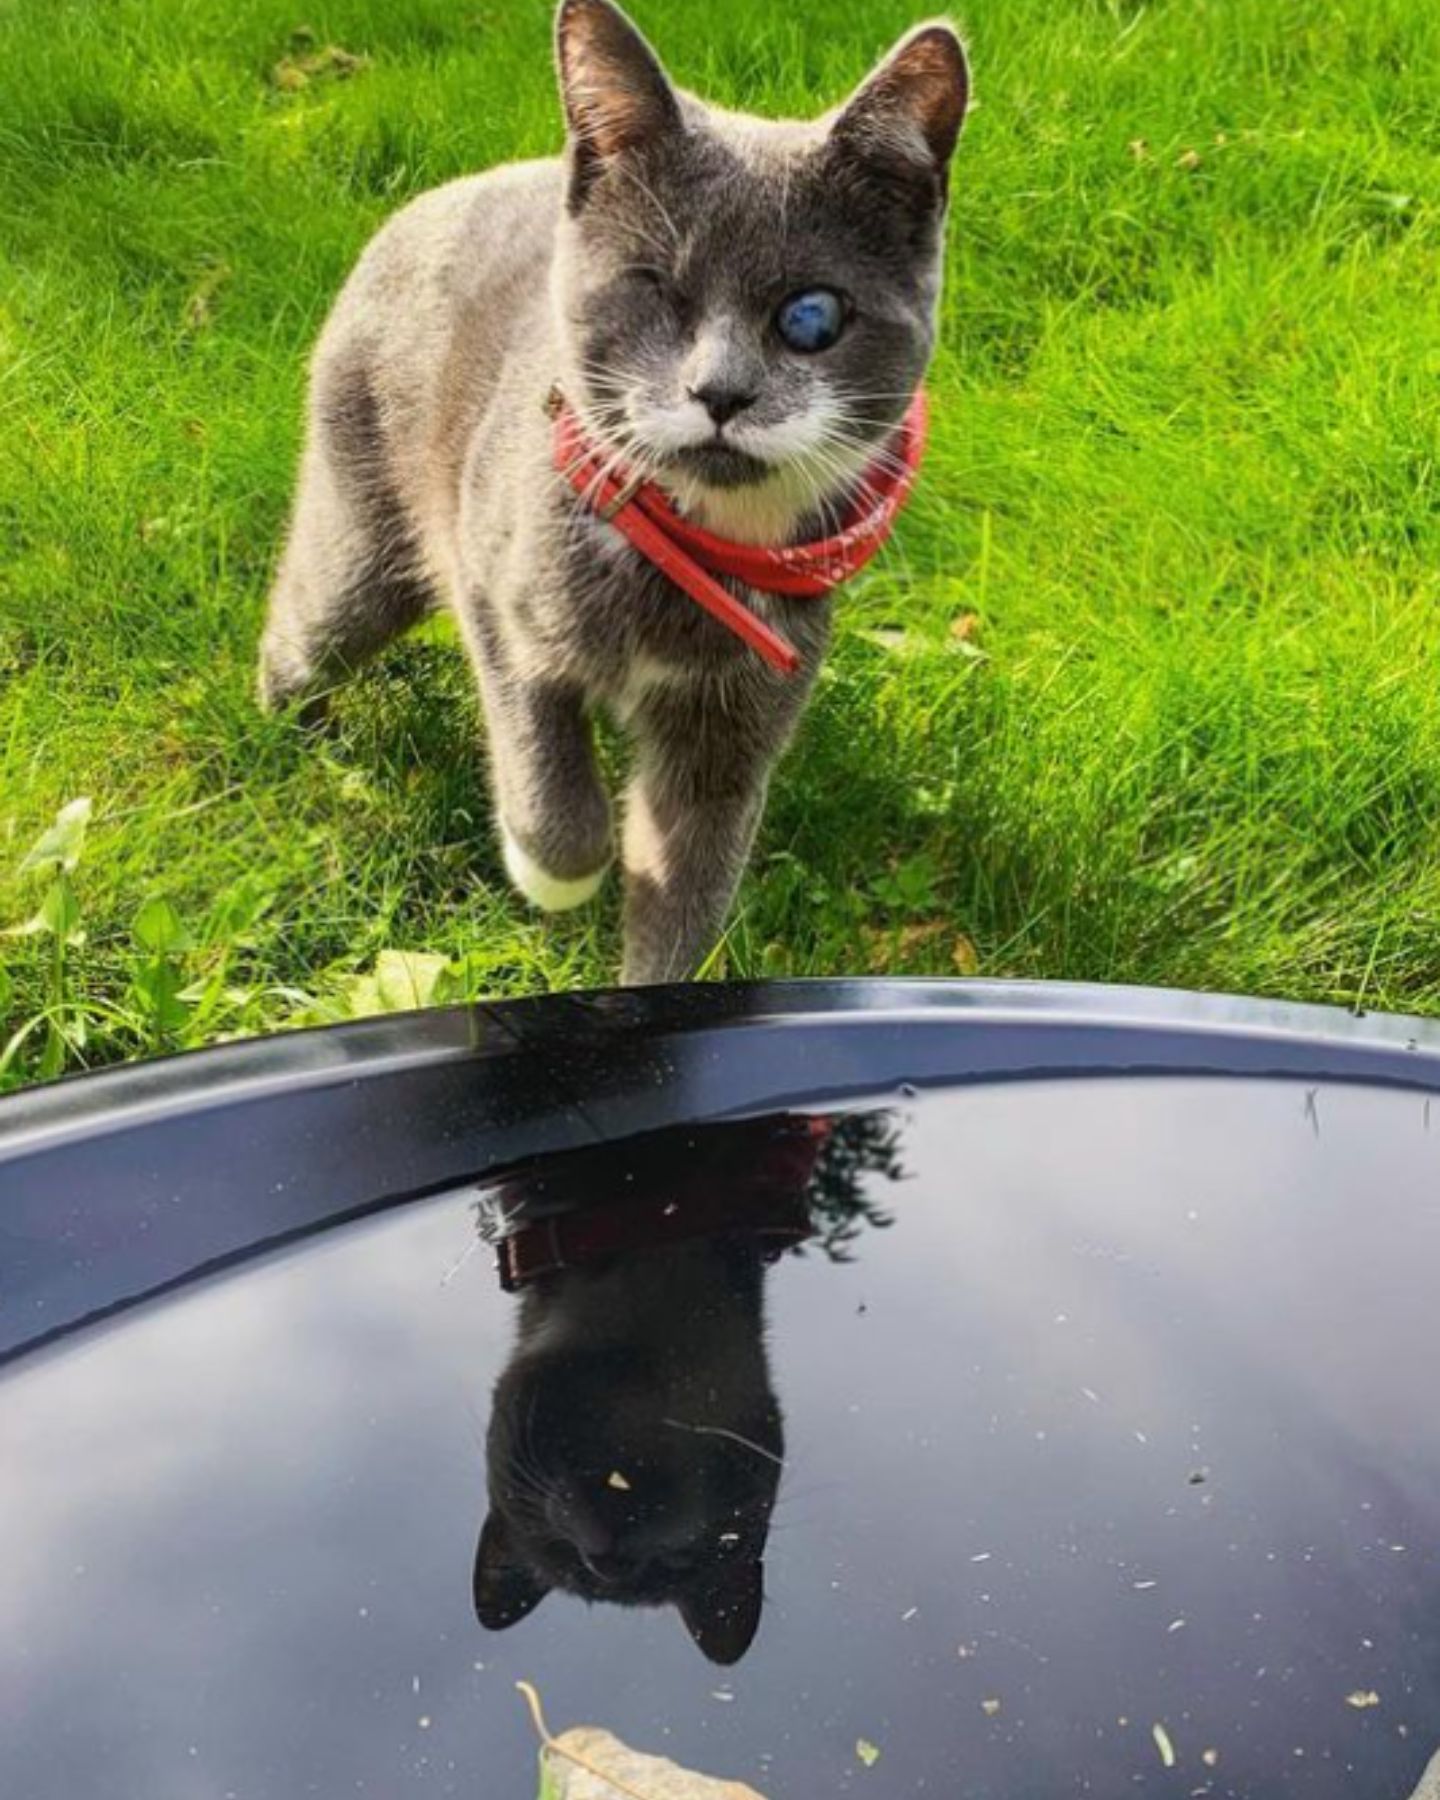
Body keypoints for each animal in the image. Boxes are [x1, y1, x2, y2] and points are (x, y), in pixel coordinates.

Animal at [264, 0, 972, 986]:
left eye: (813, 316)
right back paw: (299, 733)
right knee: (308, 622)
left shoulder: (735, 723)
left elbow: (690, 876)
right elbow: (545, 770)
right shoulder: (500, 586)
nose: (721, 392)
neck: (688, 551)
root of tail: (432, 199)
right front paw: (556, 875)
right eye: (655, 290)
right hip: (361, 519)